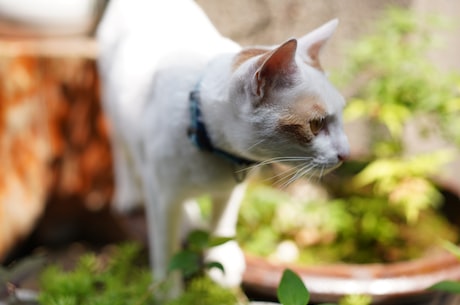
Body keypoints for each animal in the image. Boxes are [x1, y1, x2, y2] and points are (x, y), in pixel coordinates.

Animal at [97, 0, 348, 290]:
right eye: (316, 125)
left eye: (341, 115)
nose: (346, 153)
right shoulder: (161, 198)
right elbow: (165, 249)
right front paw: (168, 290)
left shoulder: (231, 188)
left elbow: (222, 225)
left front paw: (221, 261)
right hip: (113, 109)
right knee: (122, 150)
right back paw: (129, 194)